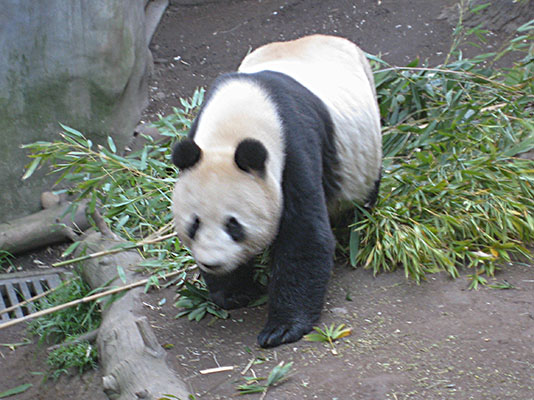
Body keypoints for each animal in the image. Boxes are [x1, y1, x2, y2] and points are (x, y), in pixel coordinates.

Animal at [172, 33, 382, 346]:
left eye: (234, 225)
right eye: (194, 224)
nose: (213, 262)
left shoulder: (294, 149)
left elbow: (305, 235)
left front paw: (281, 328)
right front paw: (235, 292)